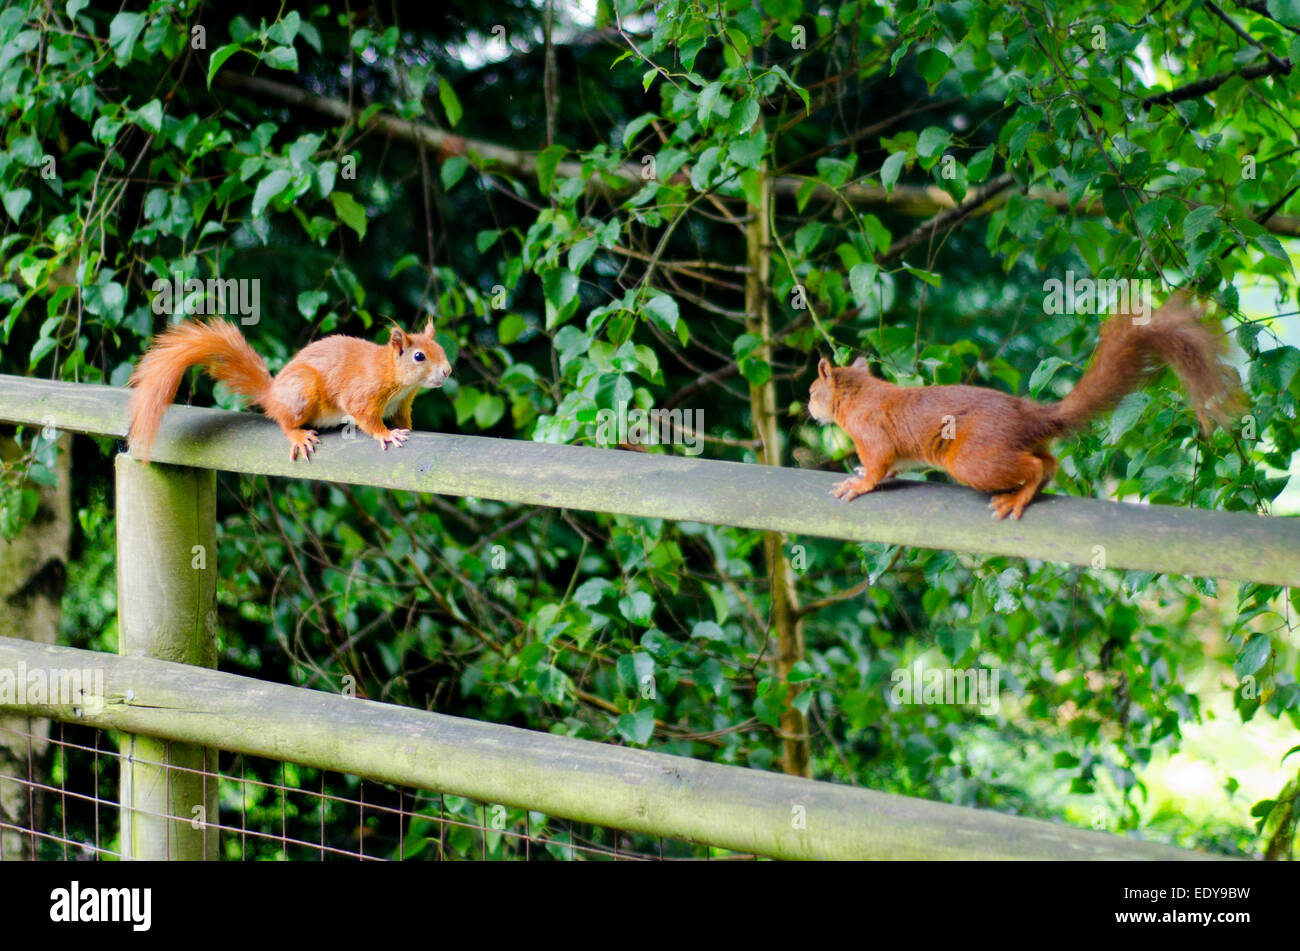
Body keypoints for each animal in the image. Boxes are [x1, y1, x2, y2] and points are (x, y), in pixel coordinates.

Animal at [127, 320, 452, 462]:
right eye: (419, 356)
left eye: (441, 348)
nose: (448, 371)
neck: (397, 379)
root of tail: (272, 395)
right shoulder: (364, 393)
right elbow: (366, 417)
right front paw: (387, 434)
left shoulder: (402, 403)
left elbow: (404, 419)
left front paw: (406, 429)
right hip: (302, 392)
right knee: (284, 422)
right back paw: (298, 435)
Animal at [806, 294, 1242, 524]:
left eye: (811, 392)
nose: (809, 410)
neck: (859, 394)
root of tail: (1029, 416)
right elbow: (890, 466)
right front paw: (862, 474)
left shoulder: (871, 432)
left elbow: (879, 462)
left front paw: (858, 484)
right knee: (1047, 461)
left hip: (973, 459)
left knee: (1034, 466)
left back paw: (1015, 499)